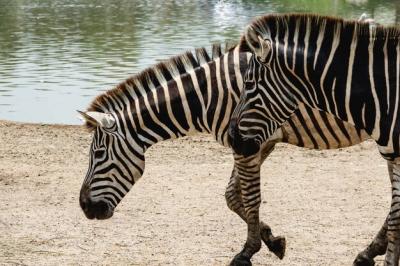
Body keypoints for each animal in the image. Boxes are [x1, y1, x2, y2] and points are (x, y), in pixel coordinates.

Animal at [79, 37, 378, 264]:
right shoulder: (258, 143)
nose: (84, 207)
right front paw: (272, 240)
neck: (209, 96)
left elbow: (248, 198)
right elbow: (232, 196)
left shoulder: (247, 144)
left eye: (98, 155)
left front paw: (248, 252)